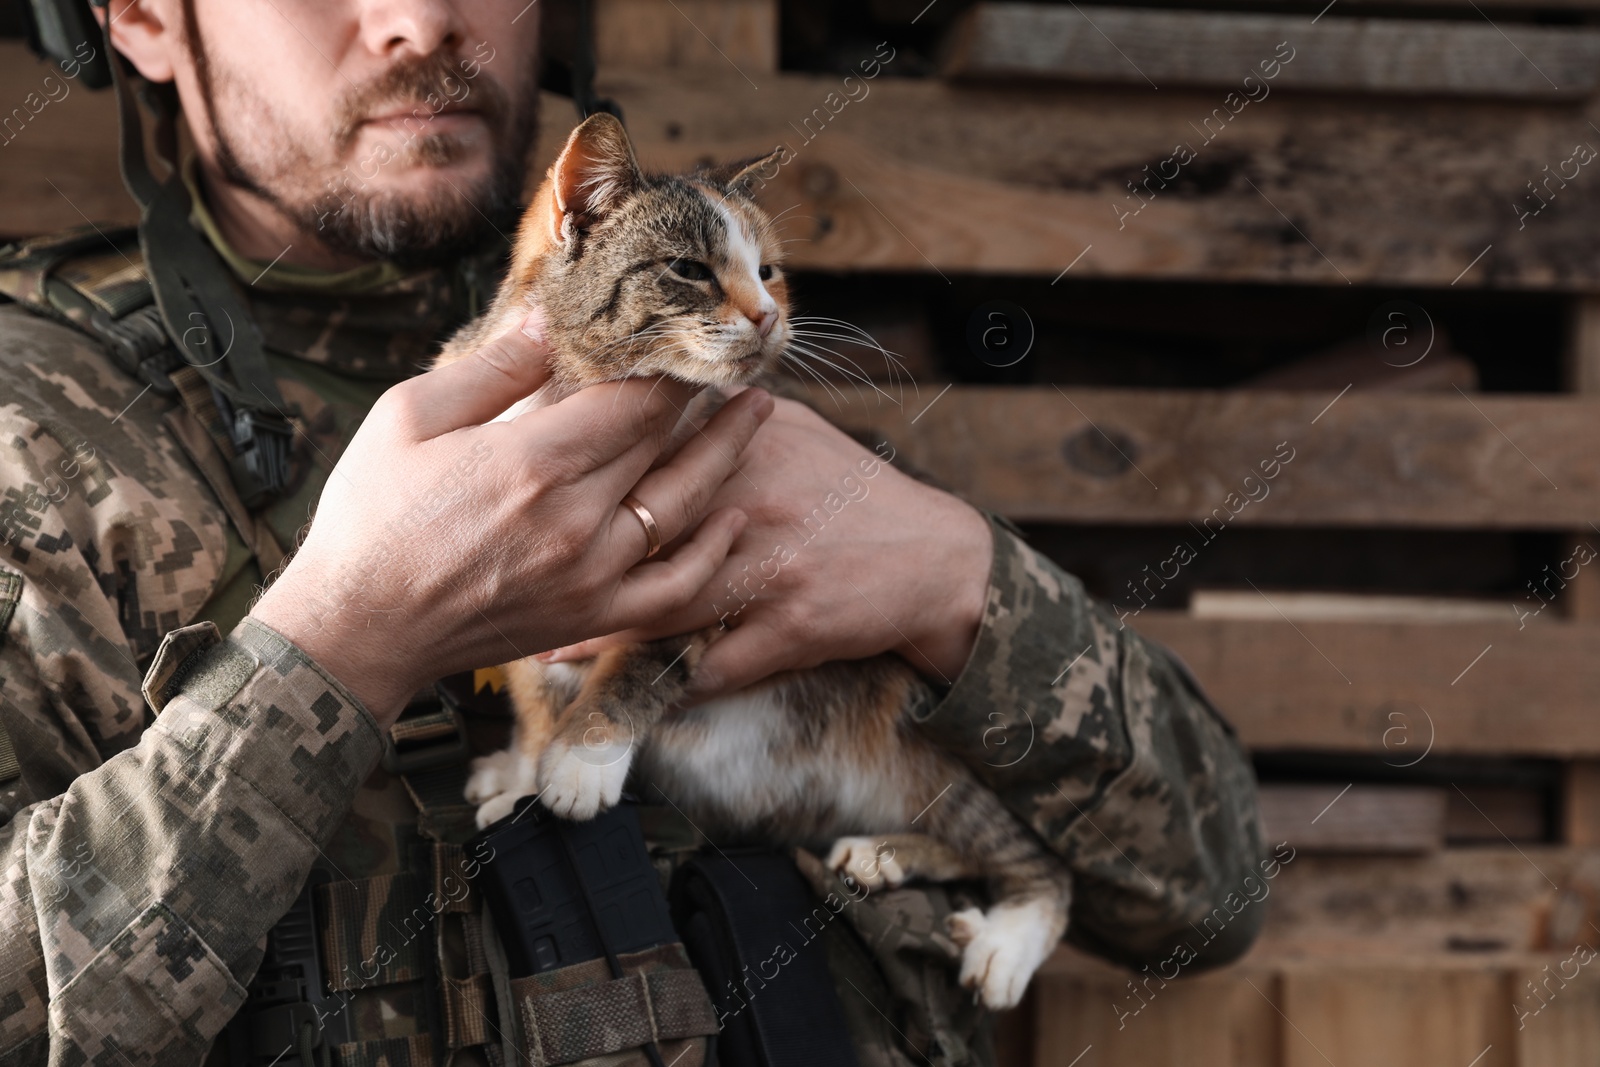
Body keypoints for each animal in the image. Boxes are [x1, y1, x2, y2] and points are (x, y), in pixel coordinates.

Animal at [432, 116, 1068, 1011]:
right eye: (689, 269)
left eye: (767, 270)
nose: (768, 313)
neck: (571, 402)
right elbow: (528, 687)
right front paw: (524, 765)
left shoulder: (718, 565)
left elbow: (643, 660)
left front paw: (585, 757)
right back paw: (888, 852)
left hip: (907, 719)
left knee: (1029, 853)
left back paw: (1004, 935)